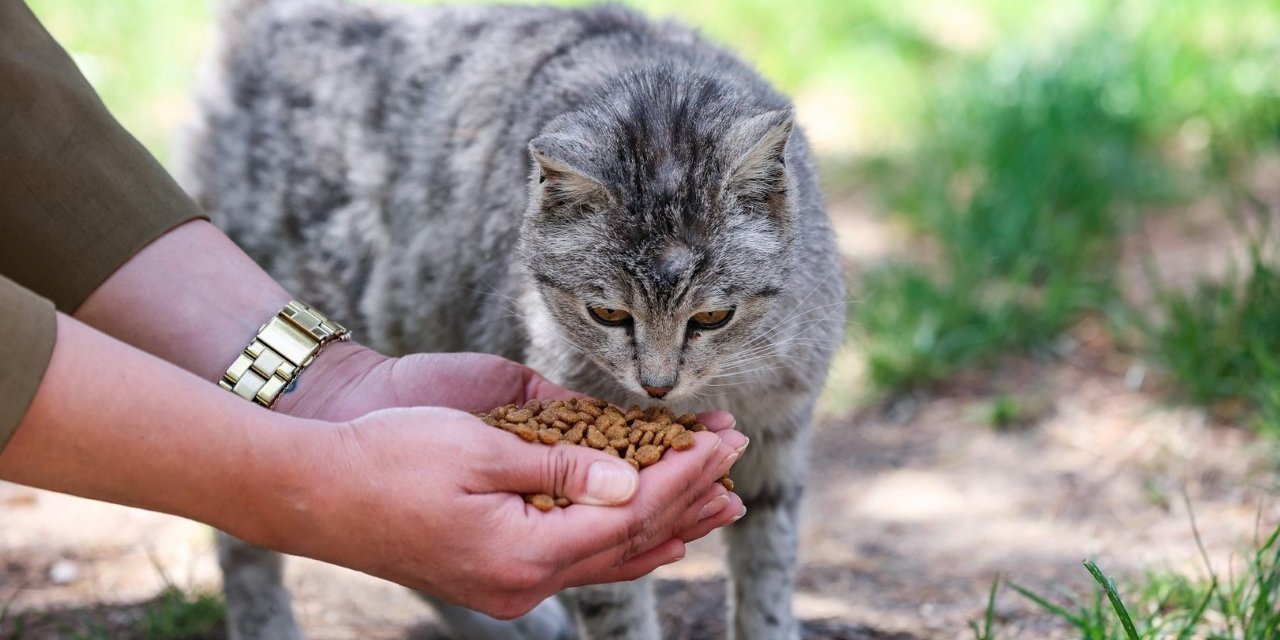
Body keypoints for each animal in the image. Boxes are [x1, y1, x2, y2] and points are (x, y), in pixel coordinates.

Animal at [175, 1, 844, 640]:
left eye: (712, 315)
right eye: (608, 313)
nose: (658, 385)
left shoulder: (780, 437)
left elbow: (768, 571)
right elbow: (618, 609)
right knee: (247, 532)